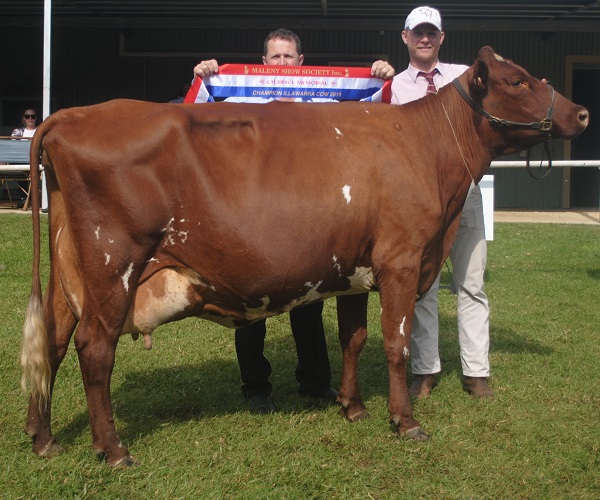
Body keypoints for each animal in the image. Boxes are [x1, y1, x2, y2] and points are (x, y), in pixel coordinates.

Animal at [21, 46, 588, 464]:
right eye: (517, 82)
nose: (580, 112)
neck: (425, 145)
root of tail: (71, 115)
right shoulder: (402, 260)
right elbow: (397, 345)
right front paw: (405, 421)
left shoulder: (359, 269)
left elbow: (354, 339)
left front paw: (352, 407)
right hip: (113, 264)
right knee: (95, 349)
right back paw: (113, 449)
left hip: (71, 272)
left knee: (52, 339)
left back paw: (44, 437)